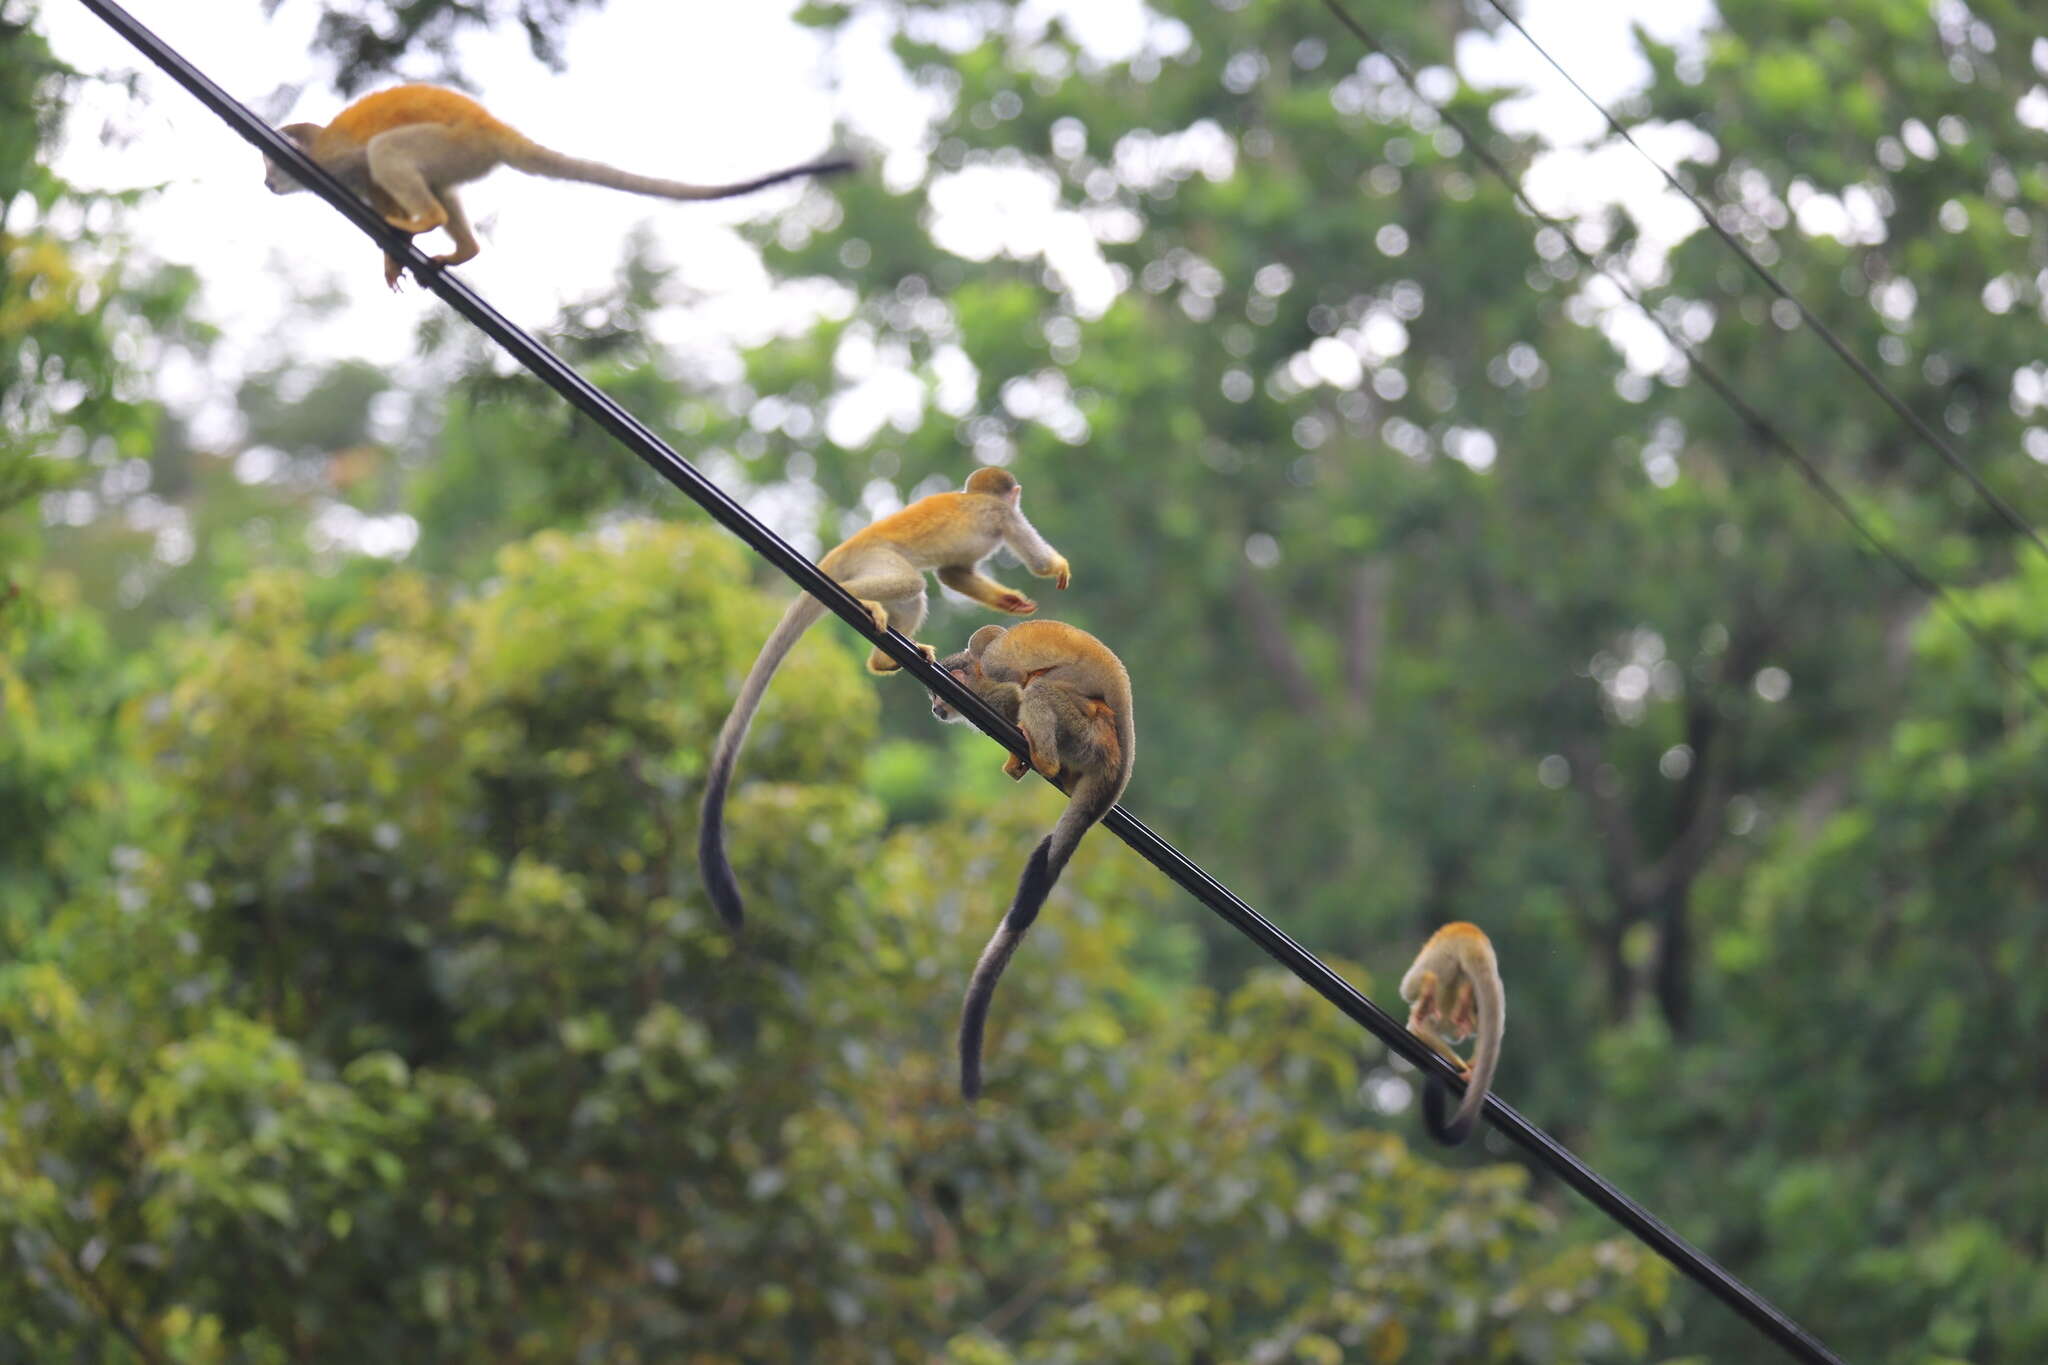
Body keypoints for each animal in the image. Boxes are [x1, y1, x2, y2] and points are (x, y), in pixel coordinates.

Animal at [929, 618, 1138, 1096]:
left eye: (938, 694)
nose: (934, 707)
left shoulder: (990, 687)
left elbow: (1011, 695)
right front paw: (1014, 761)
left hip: (1080, 730)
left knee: (1039, 691)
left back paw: (1045, 760)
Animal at [1392, 925, 1507, 1146]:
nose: (1466, 1029)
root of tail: (1472, 937)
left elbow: (1418, 1029)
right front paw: (1470, 1067)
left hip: (1442, 957)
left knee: (1409, 988)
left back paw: (1428, 987)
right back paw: (1463, 997)